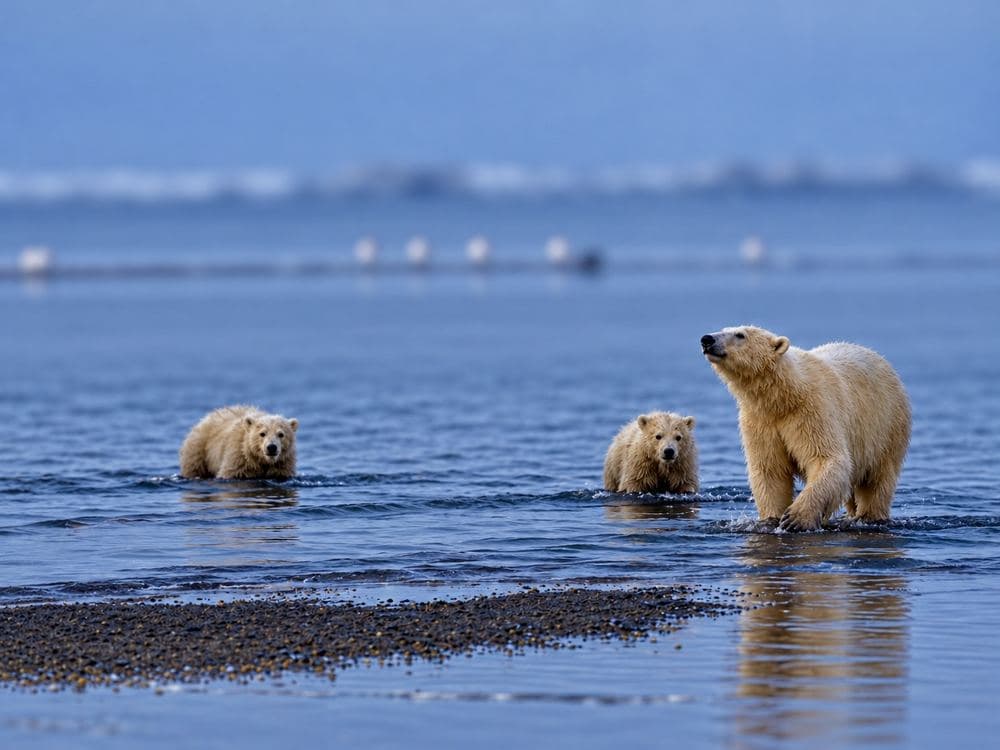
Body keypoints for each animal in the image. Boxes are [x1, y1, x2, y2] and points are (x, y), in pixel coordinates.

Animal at [701, 326, 911, 531]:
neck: (783, 396)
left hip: (886, 426)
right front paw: (771, 520)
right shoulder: (760, 421)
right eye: (723, 329)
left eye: (740, 335)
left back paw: (868, 516)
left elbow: (827, 458)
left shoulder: (811, 411)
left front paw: (796, 518)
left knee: (877, 480)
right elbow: (770, 469)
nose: (707, 339)